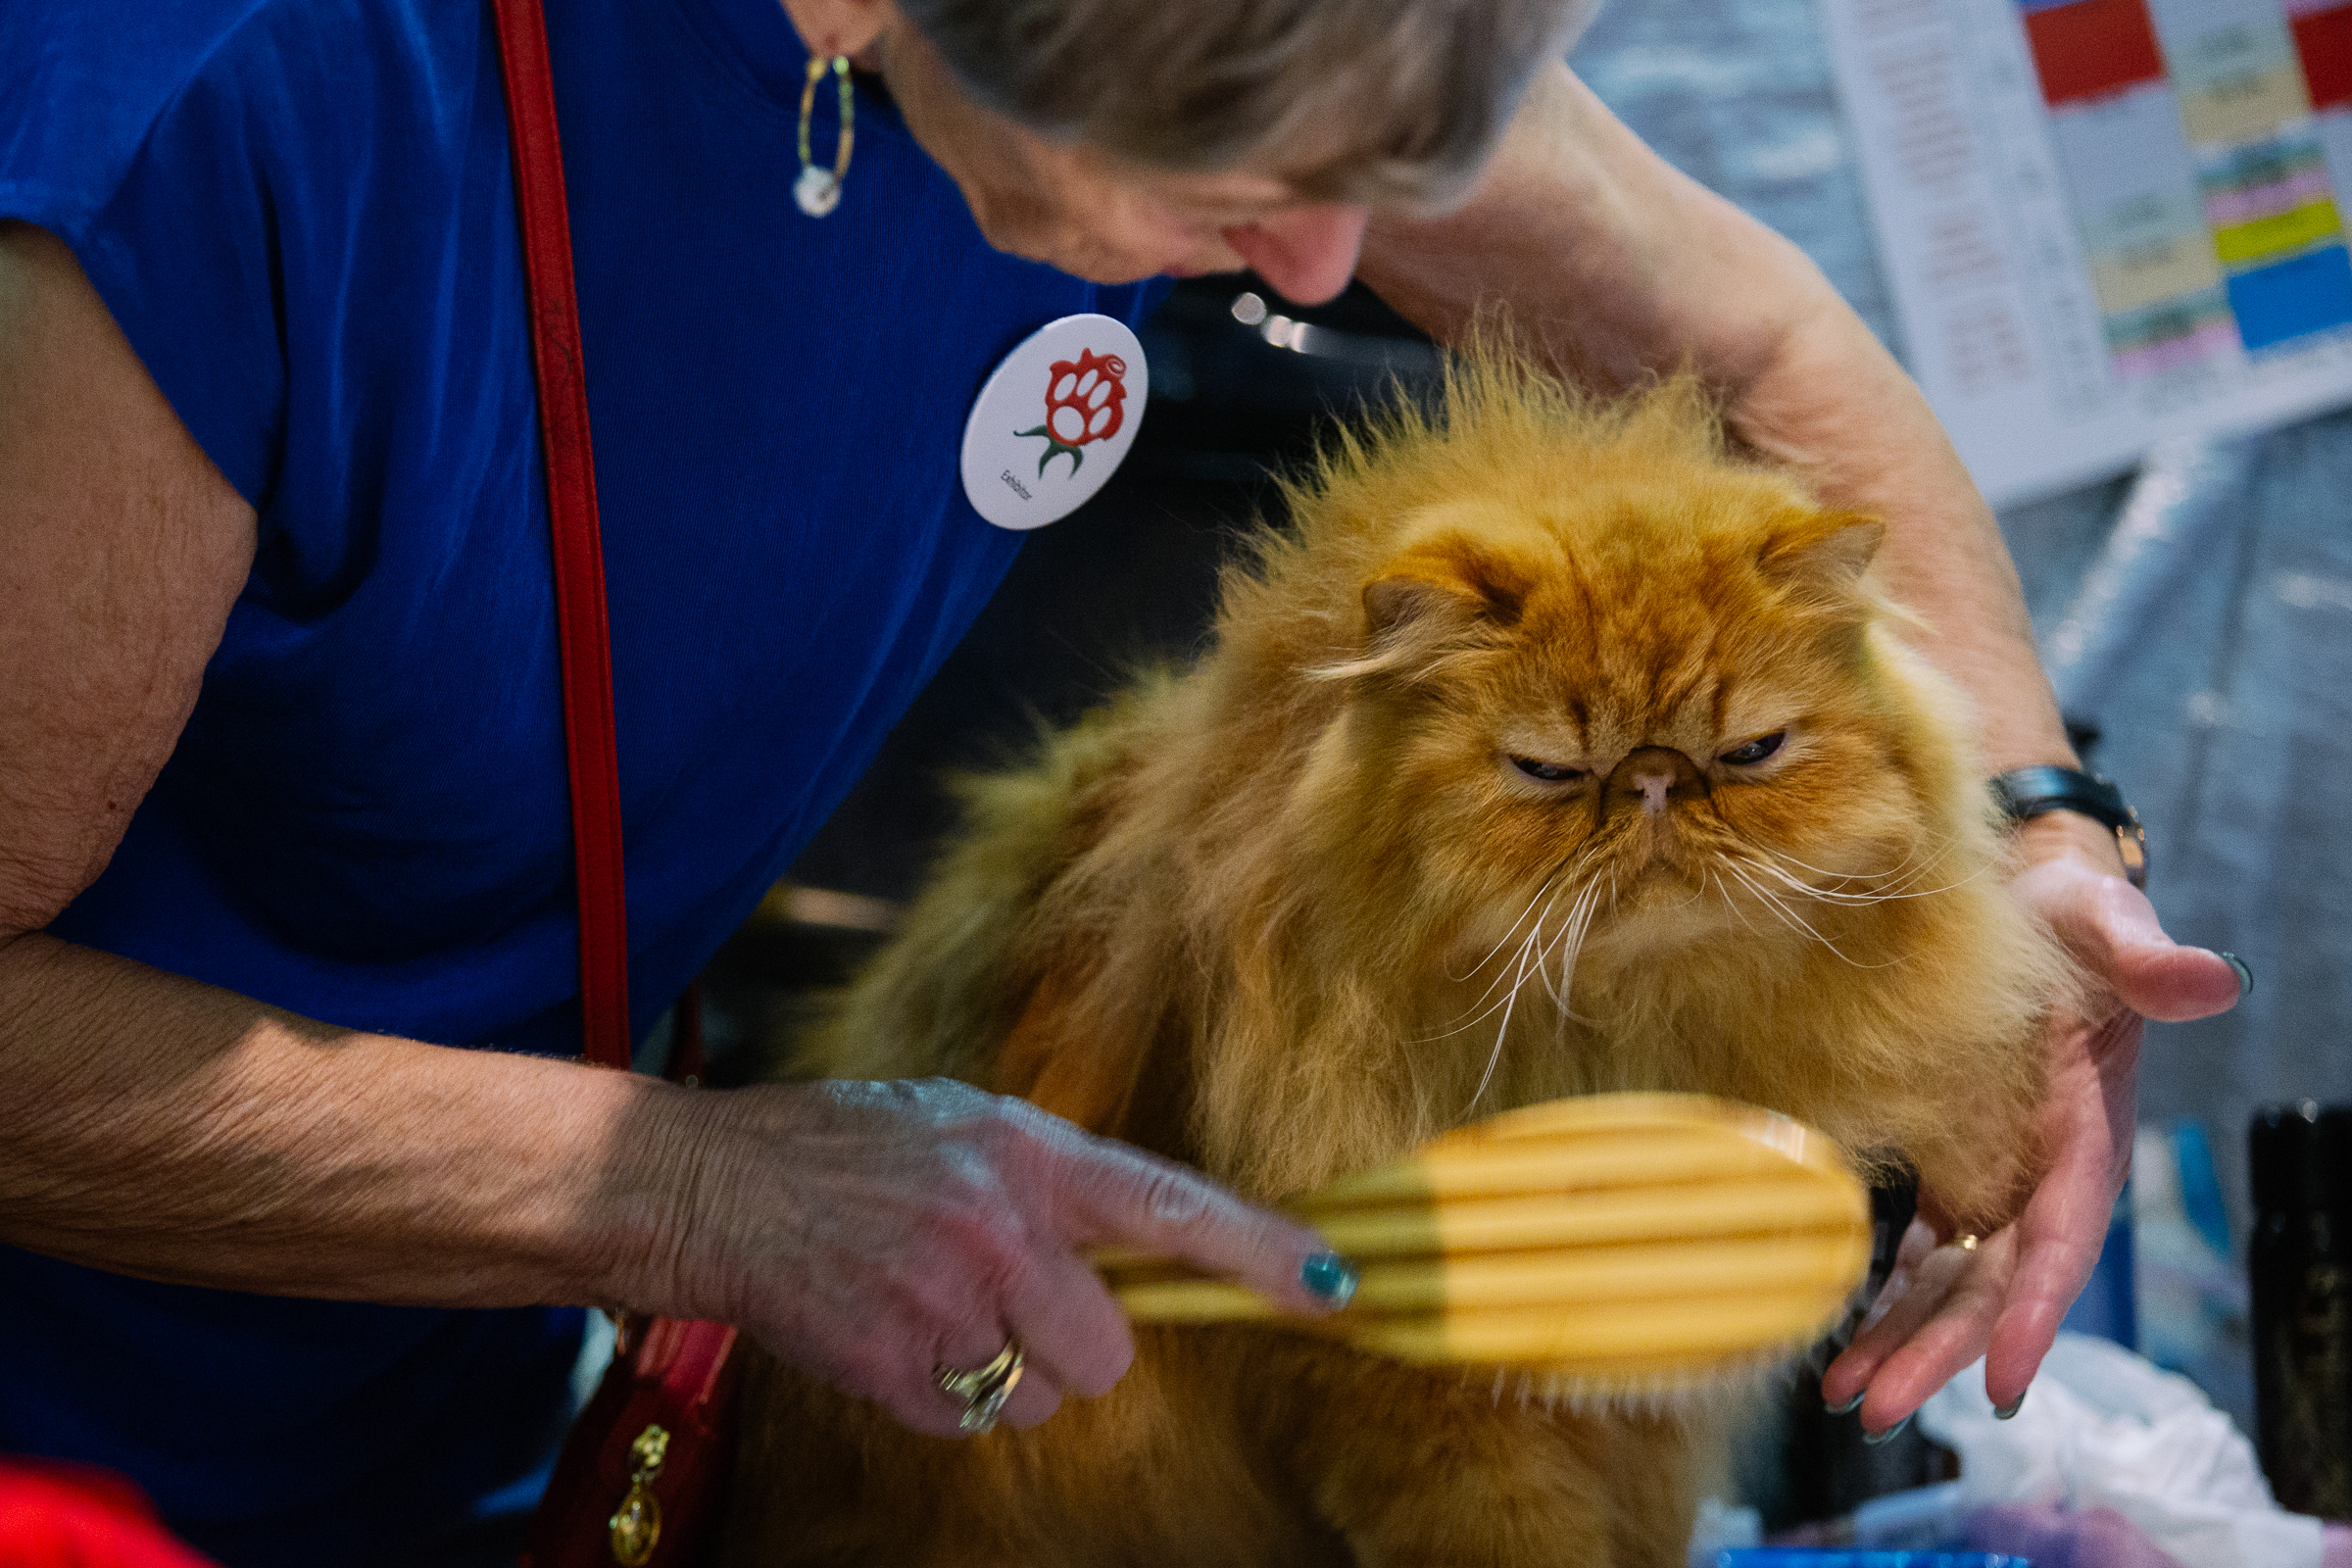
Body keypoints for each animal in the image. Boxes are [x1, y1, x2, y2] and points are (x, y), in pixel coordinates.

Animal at [719, 355, 2079, 1568]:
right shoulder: (1415, 1405)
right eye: (1546, 770)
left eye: (1749, 752)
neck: (1625, 1039)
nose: (1651, 780)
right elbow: (1518, 1543)